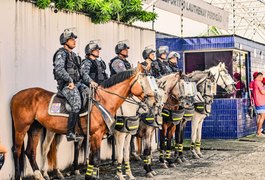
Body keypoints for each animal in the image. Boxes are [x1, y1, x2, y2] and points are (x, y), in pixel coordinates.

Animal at [11, 64, 157, 179]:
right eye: (144, 83)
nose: (154, 101)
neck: (104, 101)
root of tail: (16, 96)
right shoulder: (98, 135)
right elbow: (97, 159)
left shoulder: (100, 136)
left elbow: (94, 159)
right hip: (22, 128)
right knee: (18, 150)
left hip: (35, 127)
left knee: (31, 151)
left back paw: (39, 175)